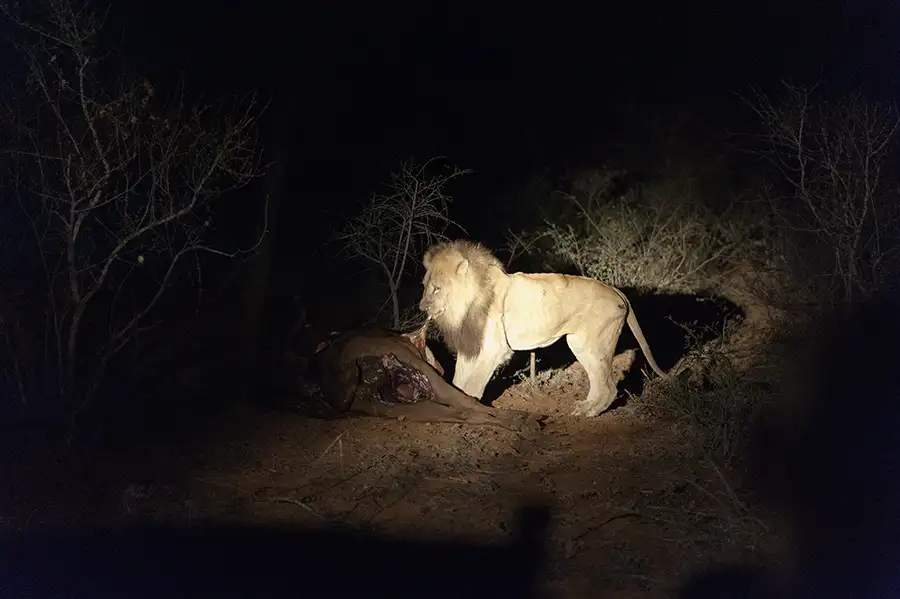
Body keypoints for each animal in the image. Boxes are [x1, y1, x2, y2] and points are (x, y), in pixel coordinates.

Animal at [419, 239, 671, 417]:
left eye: (437, 289)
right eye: (424, 286)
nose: (422, 307)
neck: (462, 308)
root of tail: (618, 292)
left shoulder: (494, 348)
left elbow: (473, 384)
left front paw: (469, 407)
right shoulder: (471, 344)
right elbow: (458, 381)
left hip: (595, 343)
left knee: (609, 387)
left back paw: (588, 413)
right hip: (579, 343)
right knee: (599, 383)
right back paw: (585, 407)